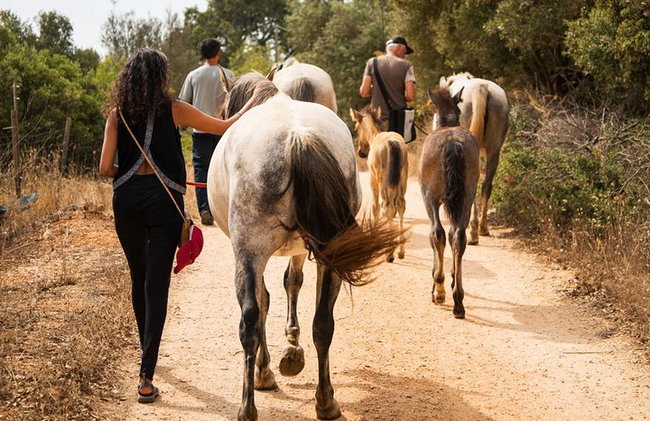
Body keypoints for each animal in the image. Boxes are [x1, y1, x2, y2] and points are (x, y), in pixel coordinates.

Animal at [207, 71, 401, 421]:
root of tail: (297, 137)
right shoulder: (300, 248)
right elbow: (292, 283)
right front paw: (292, 350)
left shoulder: (260, 255)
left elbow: (268, 298)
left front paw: (270, 367)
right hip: (331, 254)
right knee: (323, 323)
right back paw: (326, 401)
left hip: (249, 253)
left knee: (249, 321)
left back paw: (248, 405)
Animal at [349, 105, 408, 262]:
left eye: (356, 128)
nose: (361, 152)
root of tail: (391, 144)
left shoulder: (372, 179)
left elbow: (375, 208)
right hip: (402, 180)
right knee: (400, 205)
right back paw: (401, 250)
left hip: (383, 181)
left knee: (387, 207)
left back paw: (389, 253)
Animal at [420, 86, 480, 319]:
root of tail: (452, 142)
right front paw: (454, 278)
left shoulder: (431, 201)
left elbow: (434, 236)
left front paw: (437, 284)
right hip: (467, 198)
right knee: (459, 237)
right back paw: (458, 301)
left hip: (431, 198)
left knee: (438, 234)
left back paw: (440, 289)